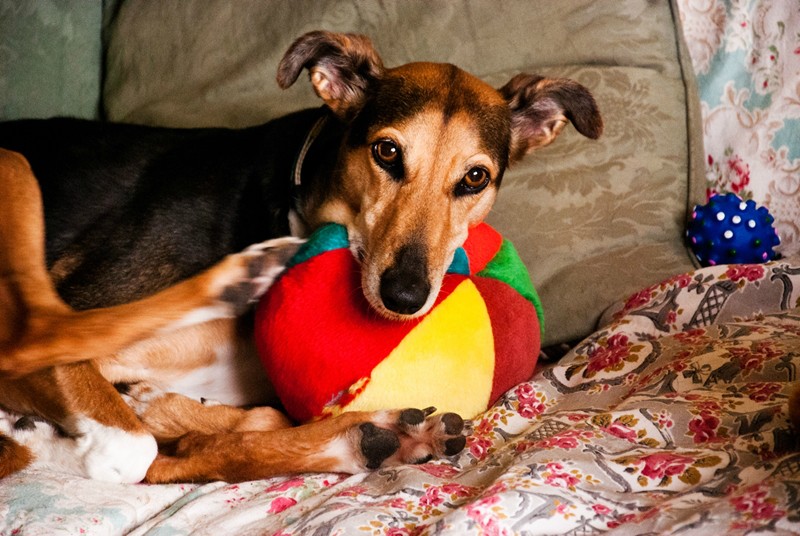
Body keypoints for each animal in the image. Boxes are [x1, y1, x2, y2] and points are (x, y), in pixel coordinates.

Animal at [0, 31, 602, 484]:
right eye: (387, 151)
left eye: (475, 177)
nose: (404, 297)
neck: (291, 209)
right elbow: (131, 446)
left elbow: (247, 424)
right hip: (15, 169)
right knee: (42, 340)